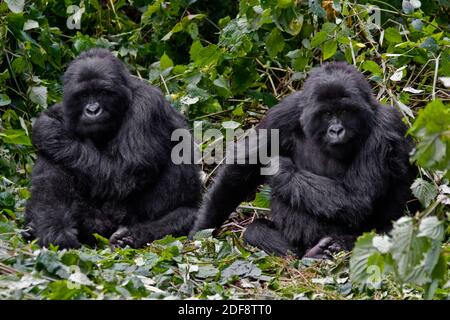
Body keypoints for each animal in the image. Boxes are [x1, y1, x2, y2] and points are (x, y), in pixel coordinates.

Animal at [24, 47, 200, 249]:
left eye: (102, 92)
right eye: (83, 95)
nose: (92, 110)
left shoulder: (147, 106)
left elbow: (122, 175)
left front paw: (49, 130)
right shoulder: (64, 112)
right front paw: (54, 229)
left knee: (186, 214)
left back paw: (134, 234)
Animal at [191, 61, 418, 258]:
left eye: (345, 111)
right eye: (327, 114)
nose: (336, 130)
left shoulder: (386, 125)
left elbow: (359, 196)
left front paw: (280, 169)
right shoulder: (284, 113)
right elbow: (241, 170)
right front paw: (201, 231)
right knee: (257, 227)